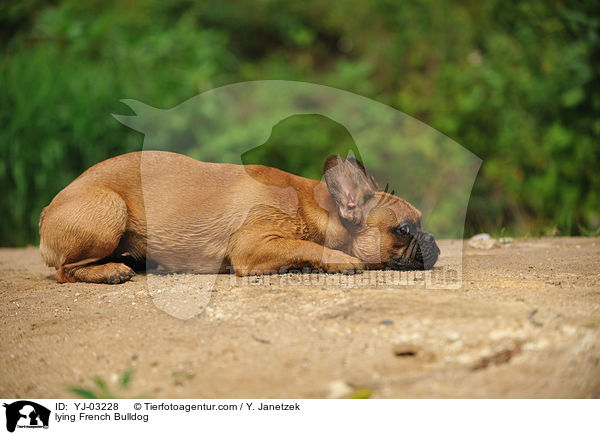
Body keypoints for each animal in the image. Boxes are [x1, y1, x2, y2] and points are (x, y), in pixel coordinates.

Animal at [38, 152, 440, 284]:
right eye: (404, 229)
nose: (432, 240)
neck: (319, 209)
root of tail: (48, 208)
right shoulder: (253, 244)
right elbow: (303, 245)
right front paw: (339, 260)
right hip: (110, 210)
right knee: (66, 271)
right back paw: (109, 271)